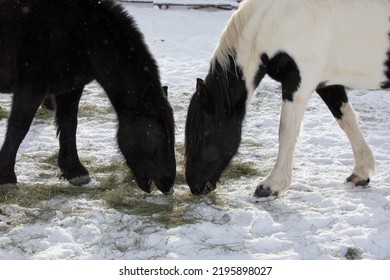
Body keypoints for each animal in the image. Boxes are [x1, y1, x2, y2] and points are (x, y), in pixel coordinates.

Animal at [0, 0, 176, 195]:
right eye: (160, 136)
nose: (168, 184)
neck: (82, 32)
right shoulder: (33, 87)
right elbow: (18, 128)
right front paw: (6, 178)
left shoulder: (71, 87)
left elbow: (69, 123)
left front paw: (74, 171)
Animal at [184, 0, 388, 197]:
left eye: (205, 134)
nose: (195, 186)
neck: (276, 18)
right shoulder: (327, 83)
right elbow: (347, 121)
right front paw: (361, 173)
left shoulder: (298, 83)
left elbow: (287, 131)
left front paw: (271, 186)